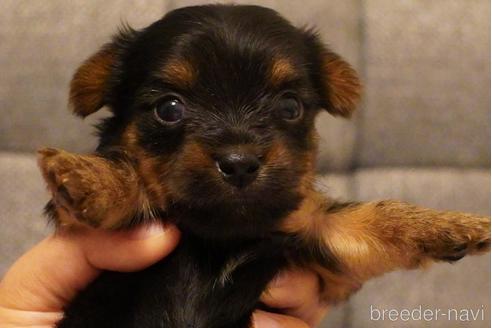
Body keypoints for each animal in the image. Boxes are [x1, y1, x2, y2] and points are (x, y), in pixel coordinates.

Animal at [36, 3, 490, 326]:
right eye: (169, 109)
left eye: (289, 106)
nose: (239, 163)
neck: (219, 238)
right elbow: (129, 174)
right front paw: (90, 178)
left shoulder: (317, 243)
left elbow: (372, 220)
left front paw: (448, 225)